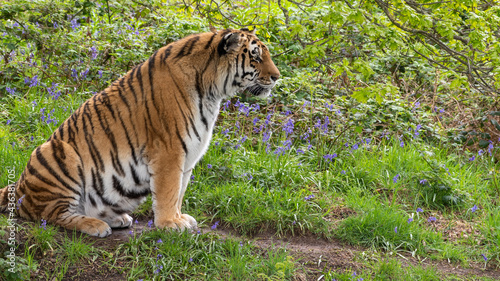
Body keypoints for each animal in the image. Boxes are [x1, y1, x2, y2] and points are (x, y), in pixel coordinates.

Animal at [0, 27, 282, 235]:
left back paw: (115, 219)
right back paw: (95, 225)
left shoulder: (189, 155)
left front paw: (179, 218)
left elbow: (179, 191)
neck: (212, 90)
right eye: (256, 56)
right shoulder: (169, 151)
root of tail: (19, 184)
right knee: (48, 214)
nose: (277, 77)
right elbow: (168, 191)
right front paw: (170, 224)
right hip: (59, 154)